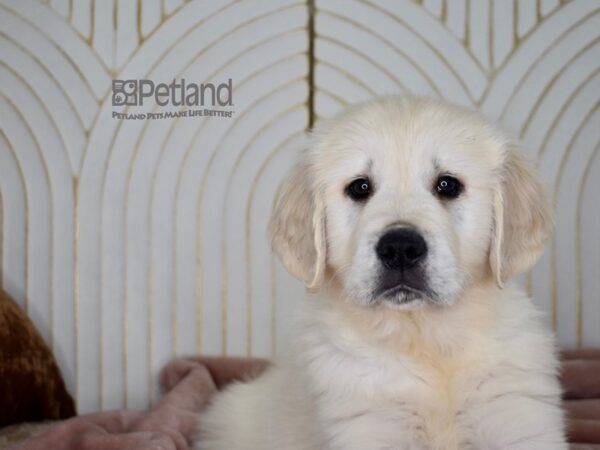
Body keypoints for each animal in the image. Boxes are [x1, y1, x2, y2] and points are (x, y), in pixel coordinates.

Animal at [195, 96, 564, 450]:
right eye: (360, 188)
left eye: (447, 185)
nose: (400, 248)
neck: (425, 339)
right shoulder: (368, 425)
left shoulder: (517, 415)